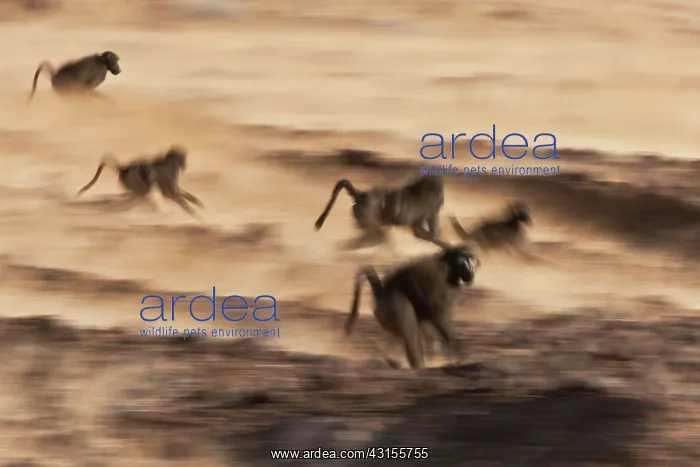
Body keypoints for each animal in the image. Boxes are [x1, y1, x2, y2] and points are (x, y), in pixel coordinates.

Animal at [76, 146, 205, 216]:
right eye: (181, 157)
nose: (185, 164)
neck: (170, 164)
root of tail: (123, 168)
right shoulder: (167, 191)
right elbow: (181, 201)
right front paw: (196, 215)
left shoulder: (173, 188)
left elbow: (187, 196)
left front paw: (200, 205)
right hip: (138, 189)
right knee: (133, 199)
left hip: (137, 190)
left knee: (129, 199)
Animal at [314, 175, 445, 250]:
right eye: (440, 195)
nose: (442, 200)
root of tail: (362, 195)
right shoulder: (429, 210)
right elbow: (427, 231)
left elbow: (419, 231)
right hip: (366, 214)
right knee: (377, 236)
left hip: (362, 215)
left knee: (376, 234)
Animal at [344, 244, 481, 369]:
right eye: (465, 259)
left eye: (471, 259)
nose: (471, 272)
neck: (450, 266)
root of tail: (381, 293)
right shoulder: (439, 281)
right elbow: (439, 318)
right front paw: (462, 357)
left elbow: (427, 324)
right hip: (393, 305)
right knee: (410, 333)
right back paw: (414, 364)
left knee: (407, 334)